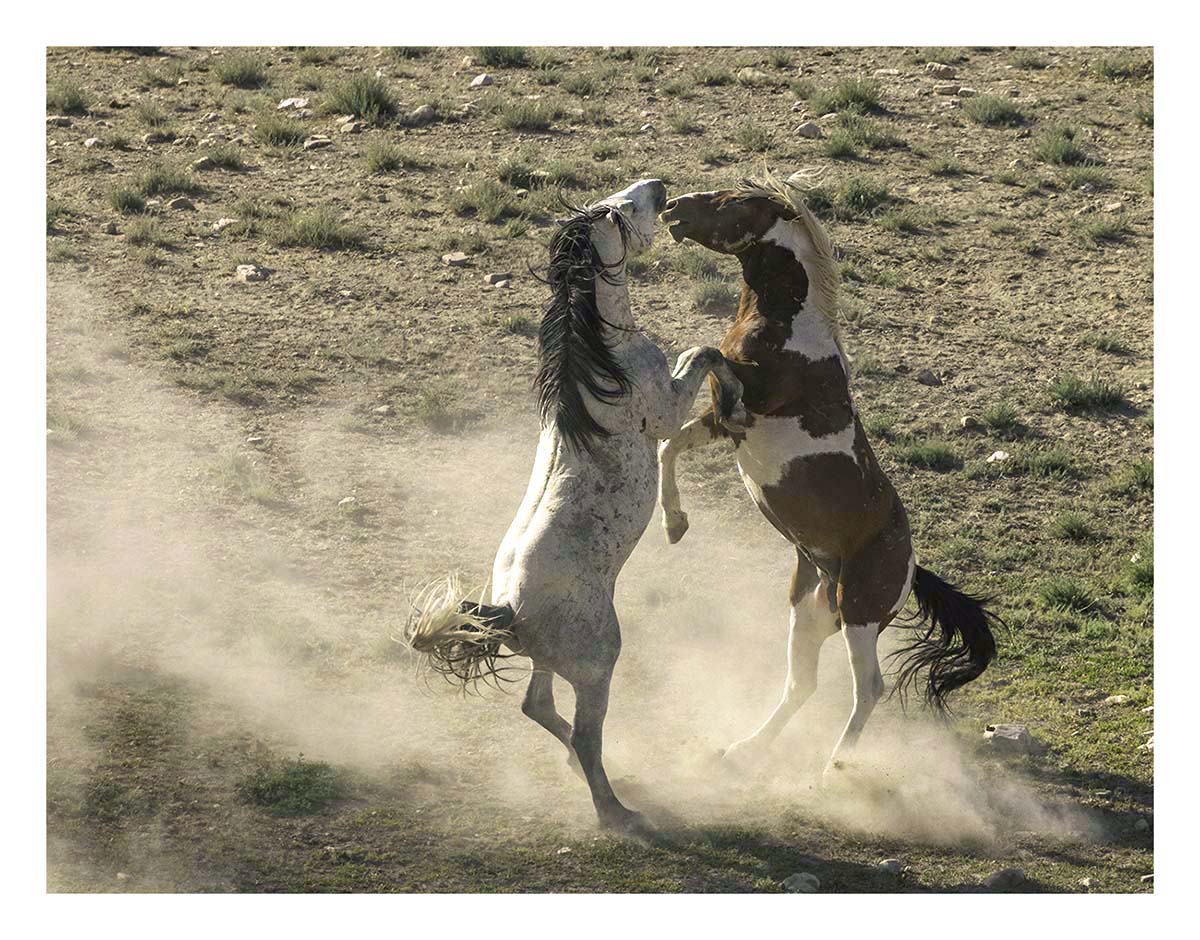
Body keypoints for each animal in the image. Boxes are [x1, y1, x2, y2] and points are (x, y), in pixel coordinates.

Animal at [407, 179, 745, 835]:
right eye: (620, 210)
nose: (661, 189)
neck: (600, 363)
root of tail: (508, 611)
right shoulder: (665, 411)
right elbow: (705, 353)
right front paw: (735, 400)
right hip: (598, 666)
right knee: (586, 734)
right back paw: (617, 811)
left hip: (548, 663)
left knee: (535, 706)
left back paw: (581, 770)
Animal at [656, 172, 999, 784]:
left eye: (731, 201)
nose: (673, 207)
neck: (788, 326)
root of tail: (911, 567)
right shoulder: (724, 424)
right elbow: (672, 441)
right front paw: (674, 524)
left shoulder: (751, 400)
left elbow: (705, 354)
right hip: (811, 607)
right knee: (802, 683)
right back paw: (744, 750)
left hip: (859, 613)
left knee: (870, 689)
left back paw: (831, 770)